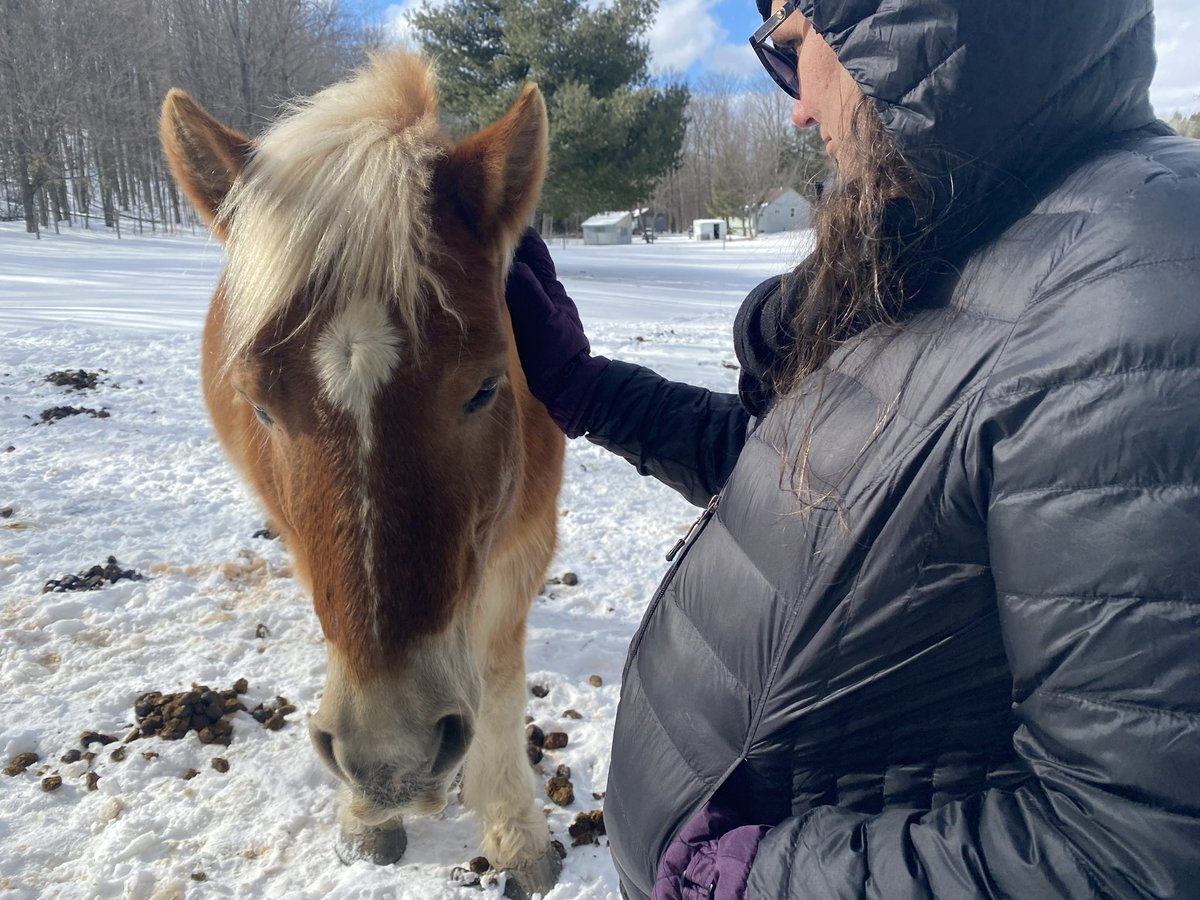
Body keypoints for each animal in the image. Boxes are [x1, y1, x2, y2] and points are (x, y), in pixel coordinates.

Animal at [159, 51, 564, 896]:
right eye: (261, 405)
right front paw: (367, 817)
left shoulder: (523, 548)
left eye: (485, 388)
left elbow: (500, 681)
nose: (390, 755)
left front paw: (515, 828)